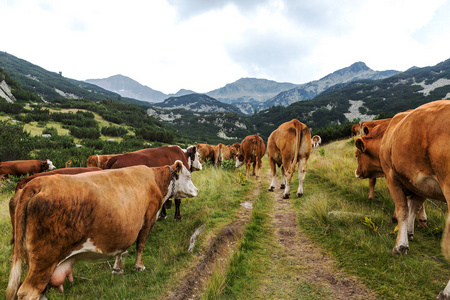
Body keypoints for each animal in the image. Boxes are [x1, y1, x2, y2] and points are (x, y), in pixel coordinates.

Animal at [4, 162, 195, 300]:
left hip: (32, 259)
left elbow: (122, 248)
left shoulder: (125, 226)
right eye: (188, 175)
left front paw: (118, 269)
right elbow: (140, 244)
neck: (154, 179)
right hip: (45, 258)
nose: (196, 190)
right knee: (27, 292)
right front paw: (138, 266)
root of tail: (36, 184)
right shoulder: (148, 218)